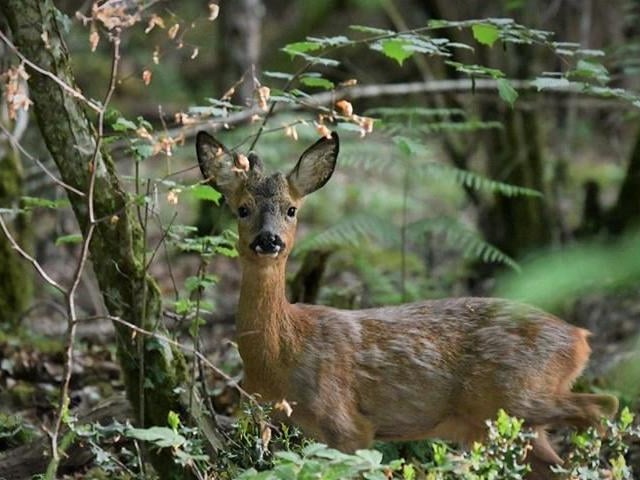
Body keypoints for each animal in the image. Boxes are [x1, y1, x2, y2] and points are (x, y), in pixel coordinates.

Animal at [195, 130, 618, 478]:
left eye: (291, 209)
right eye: (242, 208)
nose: (268, 240)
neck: (281, 356)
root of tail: (579, 339)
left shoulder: (347, 424)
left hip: (519, 392)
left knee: (604, 404)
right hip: (506, 421)